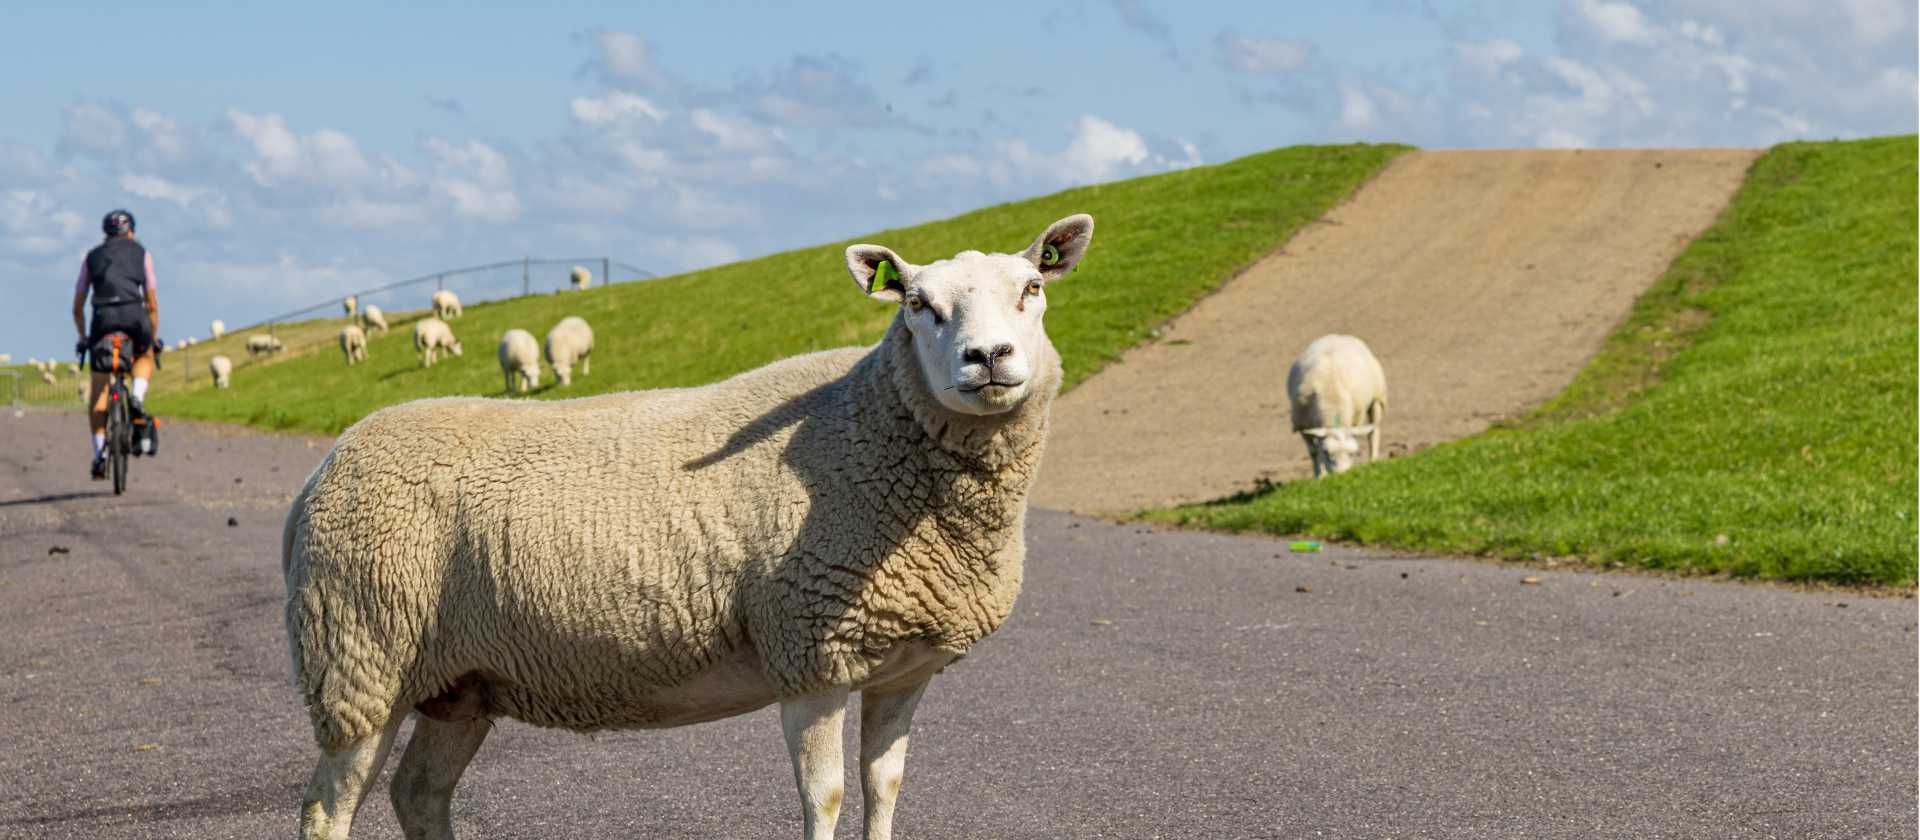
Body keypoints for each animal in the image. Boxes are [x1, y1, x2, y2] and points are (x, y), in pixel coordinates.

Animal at [281, 213, 1096, 840]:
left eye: (1033, 289)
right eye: (918, 304)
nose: (988, 358)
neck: (869, 427)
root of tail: (321, 471)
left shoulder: (904, 666)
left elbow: (884, 789)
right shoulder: (810, 653)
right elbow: (826, 797)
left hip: (459, 682)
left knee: (419, 793)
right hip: (361, 658)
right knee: (327, 810)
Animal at [1286, 333, 1387, 478]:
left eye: (1354, 454)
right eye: (1327, 453)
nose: (1342, 476)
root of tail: (1337, 336)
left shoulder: (1355, 419)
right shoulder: (1302, 425)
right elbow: (1314, 451)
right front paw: (1320, 476)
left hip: (1378, 398)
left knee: (1374, 432)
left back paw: (1373, 461)